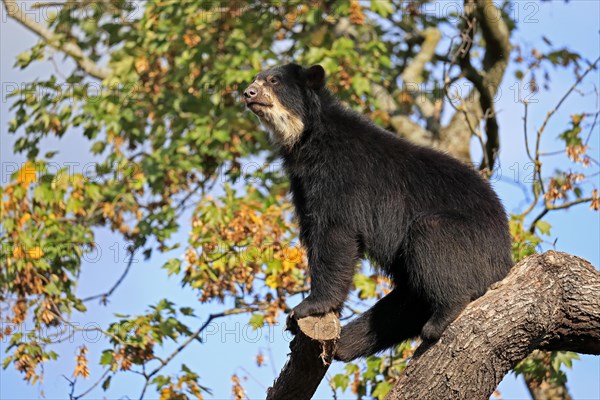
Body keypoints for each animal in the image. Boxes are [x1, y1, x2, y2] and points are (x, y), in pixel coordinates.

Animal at [243, 64, 510, 360]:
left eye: (273, 81)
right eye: (256, 79)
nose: (247, 93)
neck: (308, 140)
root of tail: (506, 258)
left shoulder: (342, 177)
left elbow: (336, 234)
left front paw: (309, 306)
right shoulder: (302, 186)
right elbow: (313, 232)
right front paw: (299, 320)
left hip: (469, 243)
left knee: (433, 240)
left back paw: (442, 316)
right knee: (400, 308)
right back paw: (346, 343)